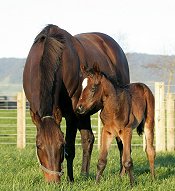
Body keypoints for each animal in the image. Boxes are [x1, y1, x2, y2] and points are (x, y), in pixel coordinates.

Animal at [22, 23, 130, 182]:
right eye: (38, 145)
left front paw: (70, 180)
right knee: (88, 139)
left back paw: (122, 173)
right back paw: (84, 174)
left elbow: (71, 149)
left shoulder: (71, 114)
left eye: (61, 144)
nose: (53, 181)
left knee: (119, 138)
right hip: (83, 113)